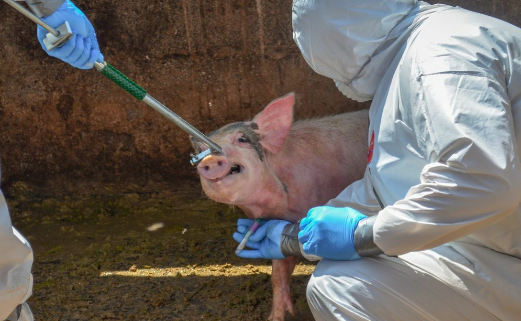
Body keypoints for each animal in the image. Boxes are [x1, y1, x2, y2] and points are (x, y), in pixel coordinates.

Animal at [190, 91, 366, 318]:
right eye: (200, 150)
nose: (209, 159)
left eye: (242, 139)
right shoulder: (279, 223)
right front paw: (276, 316)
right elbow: (278, 272)